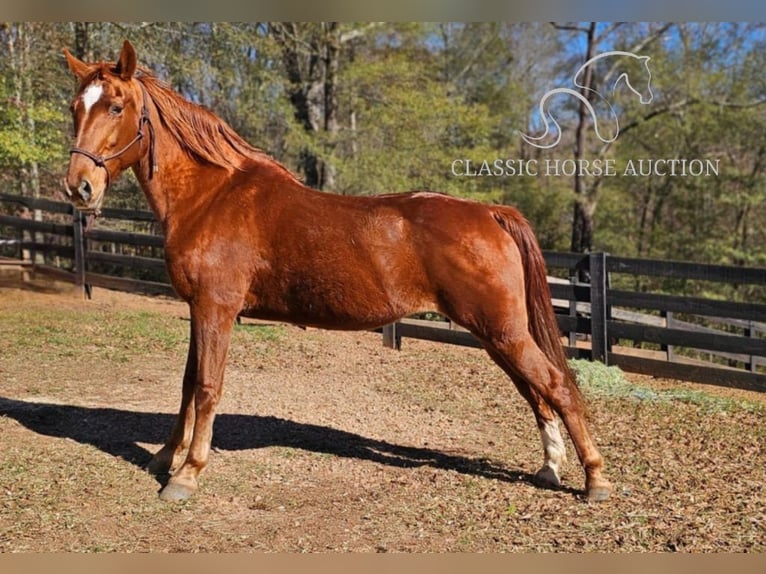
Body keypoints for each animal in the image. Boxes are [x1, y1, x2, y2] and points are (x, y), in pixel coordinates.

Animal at [63, 40, 616, 502]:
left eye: (116, 106)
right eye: (75, 108)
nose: (78, 186)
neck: (211, 196)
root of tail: (491, 212)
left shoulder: (215, 310)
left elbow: (206, 387)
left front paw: (187, 474)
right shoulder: (200, 310)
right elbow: (186, 385)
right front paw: (164, 458)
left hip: (502, 330)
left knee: (556, 385)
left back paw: (595, 479)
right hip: (497, 333)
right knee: (535, 390)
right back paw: (550, 467)